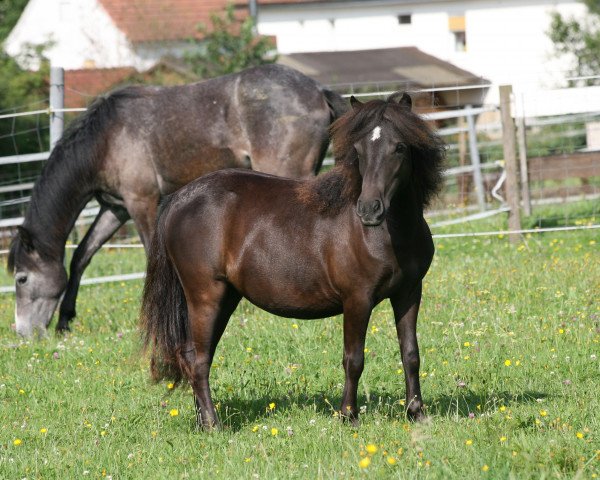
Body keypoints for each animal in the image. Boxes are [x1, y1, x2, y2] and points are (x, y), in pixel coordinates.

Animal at [8, 63, 346, 340]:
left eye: (22, 278)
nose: (24, 333)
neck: (106, 138)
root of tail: (318, 91)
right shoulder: (116, 208)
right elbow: (81, 256)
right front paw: (65, 321)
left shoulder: (142, 201)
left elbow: (148, 252)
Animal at [141, 92, 446, 430]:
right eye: (358, 150)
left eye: (399, 147)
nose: (369, 210)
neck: (388, 234)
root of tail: (179, 198)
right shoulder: (357, 299)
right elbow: (353, 359)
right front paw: (348, 415)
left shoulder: (409, 293)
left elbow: (411, 353)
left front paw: (417, 413)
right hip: (205, 296)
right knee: (198, 359)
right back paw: (213, 424)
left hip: (226, 297)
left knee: (194, 354)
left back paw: (202, 421)